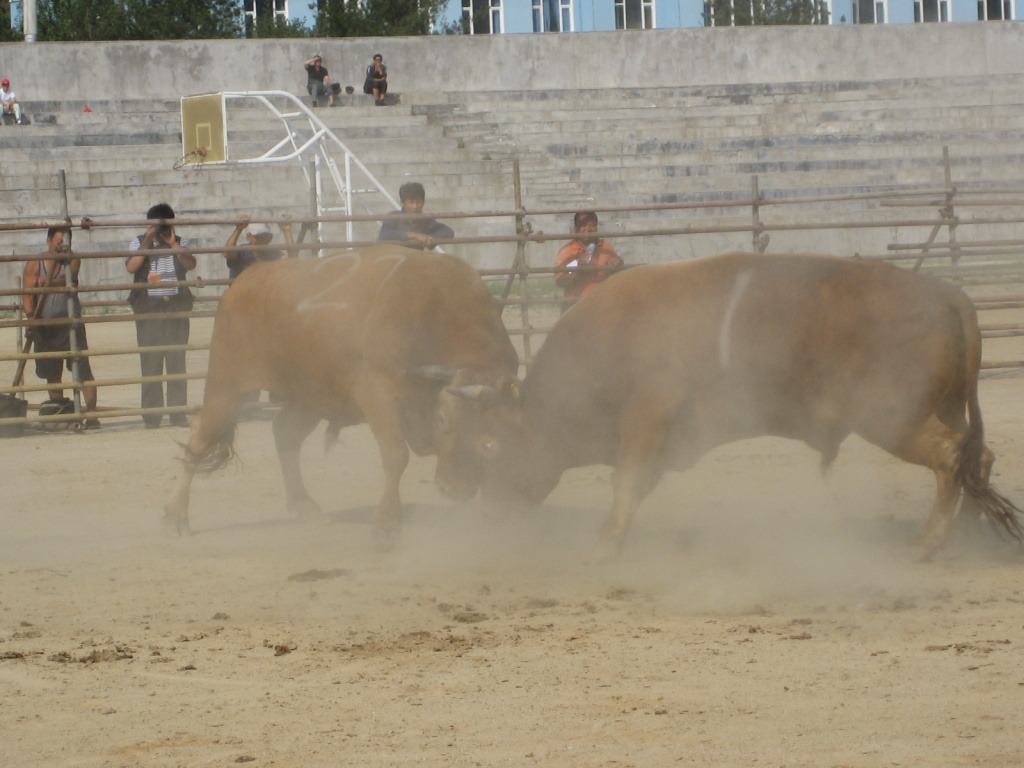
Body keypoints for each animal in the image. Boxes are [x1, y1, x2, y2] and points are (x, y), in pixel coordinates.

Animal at [436, 252, 1019, 561]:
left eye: (488, 444)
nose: (486, 514)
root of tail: (948, 295)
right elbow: (636, 484)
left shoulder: (645, 421)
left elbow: (626, 481)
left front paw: (604, 543)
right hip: (943, 407)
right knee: (977, 458)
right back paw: (966, 534)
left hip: (893, 419)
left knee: (951, 459)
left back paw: (925, 544)